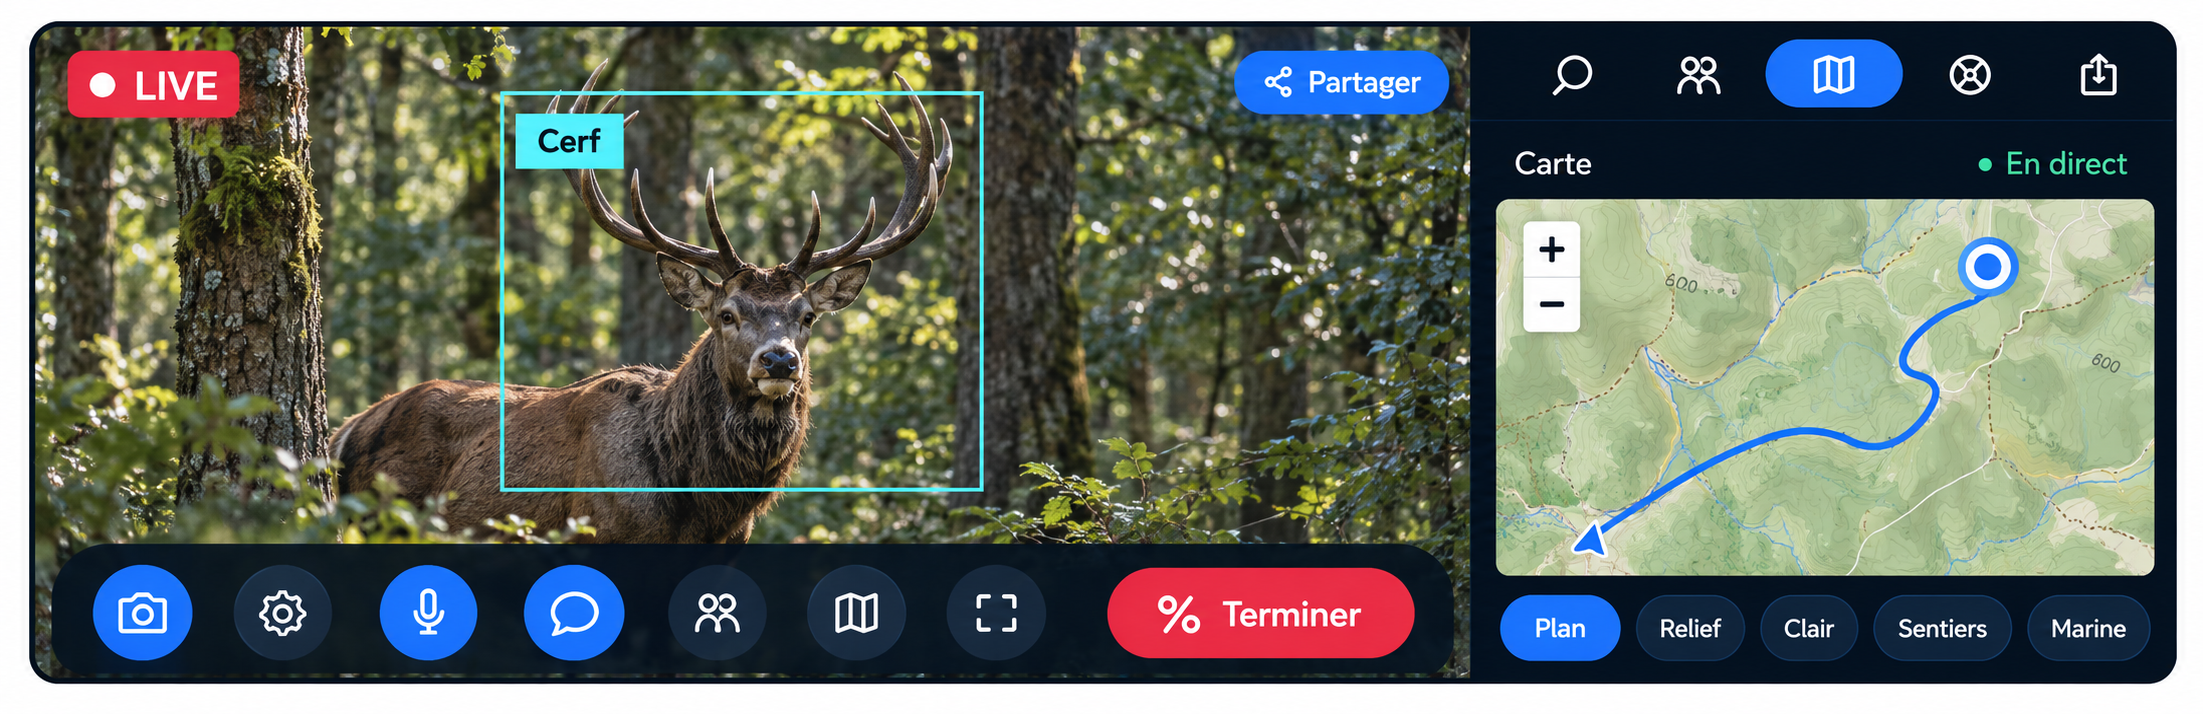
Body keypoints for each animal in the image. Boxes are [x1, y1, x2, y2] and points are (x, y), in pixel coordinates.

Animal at [331, 63, 952, 543]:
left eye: (806, 317)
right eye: (727, 315)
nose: (779, 360)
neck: (699, 505)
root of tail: (345, 430)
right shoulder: (601, 532)